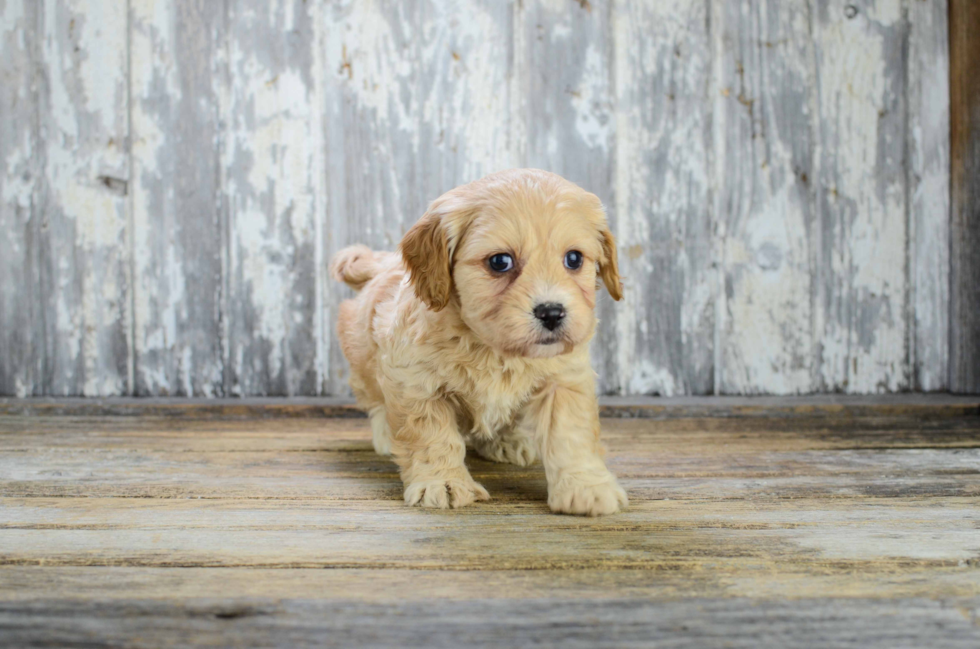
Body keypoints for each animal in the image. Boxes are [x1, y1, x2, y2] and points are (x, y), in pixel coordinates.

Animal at [332, 168, 628, 516]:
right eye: (500, 262)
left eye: (573, 259)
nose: (552, 313)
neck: (495, 349)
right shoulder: (415, 382)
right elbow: (430, 435)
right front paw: (442, 482)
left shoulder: (565, 380)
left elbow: (571, 435)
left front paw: (586, 487)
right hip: (361, 350)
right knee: (373, 398)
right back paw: (383, 434)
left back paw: (507, 441)